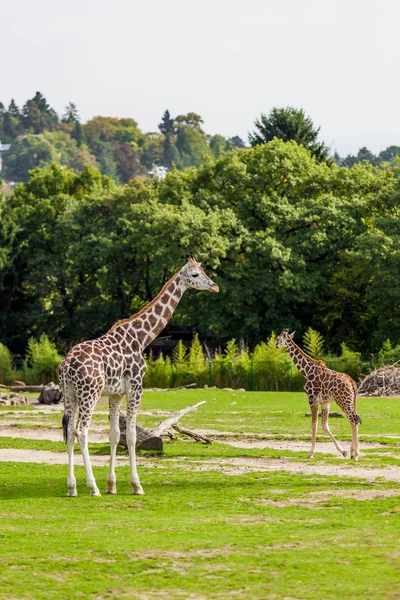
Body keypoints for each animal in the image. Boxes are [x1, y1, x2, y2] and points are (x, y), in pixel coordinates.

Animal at [59, 254, 219, 496]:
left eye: (203, 270)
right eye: (195, 274)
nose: (215, 286)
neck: (142, 338)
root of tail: (67, 365)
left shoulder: (115, 393)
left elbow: (115, 434)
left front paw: (112, 485)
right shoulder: (136, 387)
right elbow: (133, 435)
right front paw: (136, 485)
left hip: (69, 395)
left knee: (69, 432)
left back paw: (72, 487)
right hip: (89, 394)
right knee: (82, 432)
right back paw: (92, 487)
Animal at [276, 330, 360, 462]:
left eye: (279, 339)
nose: (276, 345)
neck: (306, 371)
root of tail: (352, 383)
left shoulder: (312, 398)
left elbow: (314, 424)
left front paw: (310, 453)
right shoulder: (325, 402)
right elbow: (324, 425)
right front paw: (343, 451)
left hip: (343, 401)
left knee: (353, 420)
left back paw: (356, 454)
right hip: (349, 401)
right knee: (354, 420)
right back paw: (352, 452)